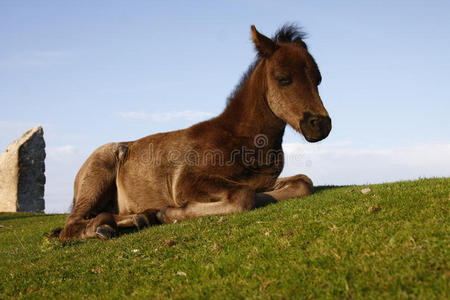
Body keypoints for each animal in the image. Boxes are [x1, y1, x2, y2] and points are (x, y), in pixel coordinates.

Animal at [58, 24, 330, 239]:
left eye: (318, 79)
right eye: (283, 78)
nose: (321, 124)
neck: (240, 139)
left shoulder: (265, 181)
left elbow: (303, 183)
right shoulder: (187, 183)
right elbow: (244, 196)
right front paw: (170, 213)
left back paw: (140, 217)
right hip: (98, 172)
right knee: (70, 225)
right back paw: (102, 228)